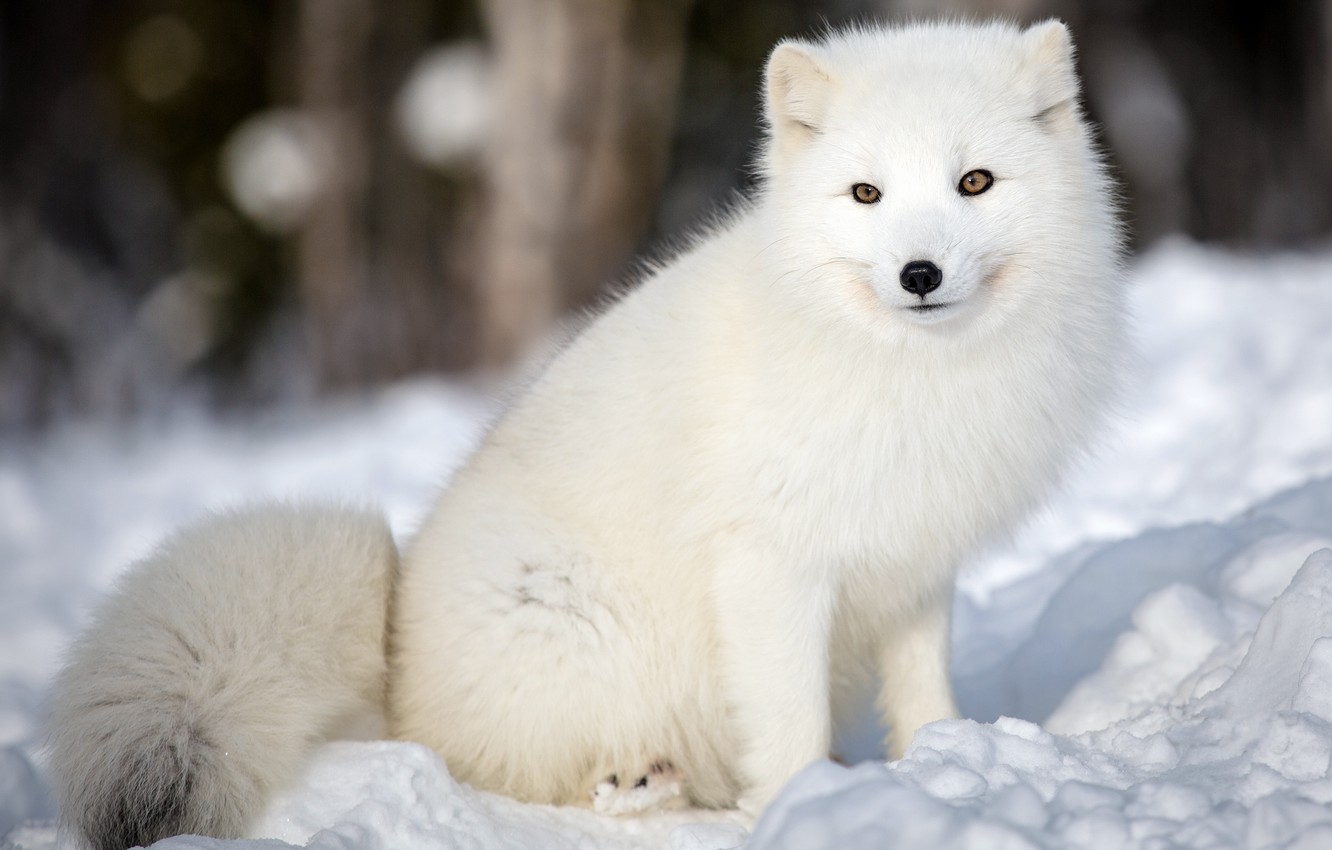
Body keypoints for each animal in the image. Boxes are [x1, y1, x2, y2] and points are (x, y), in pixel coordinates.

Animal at [47, 19, 1126, 850]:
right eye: (866, 194)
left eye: (975, 182)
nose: (918, 274)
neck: (909, 373)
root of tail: (393, 669)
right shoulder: (771, 567)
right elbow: (785, 719)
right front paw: (804, 805)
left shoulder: (913, 561)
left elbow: (925, 690)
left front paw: (940, 766)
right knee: (530, 778)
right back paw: (645, 787)